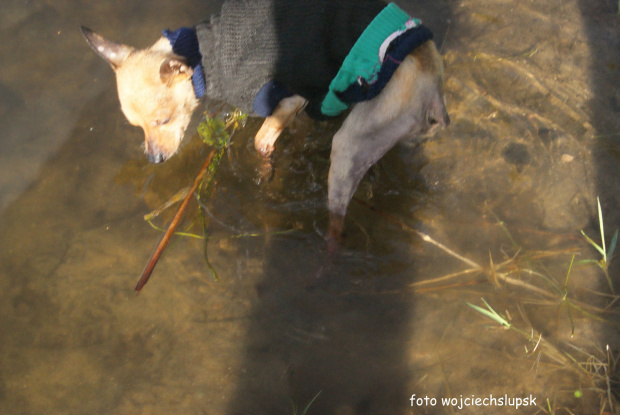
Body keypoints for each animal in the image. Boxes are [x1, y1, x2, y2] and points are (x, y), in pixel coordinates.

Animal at [83, 0, 450, 242]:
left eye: (163, 120)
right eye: (138, 128)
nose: (154, 158)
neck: (206, 55)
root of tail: (431, 80)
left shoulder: (288, 97)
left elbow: (262, 142)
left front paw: (266, 174)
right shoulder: (307, 101)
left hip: (350, 146)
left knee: (338, 212)